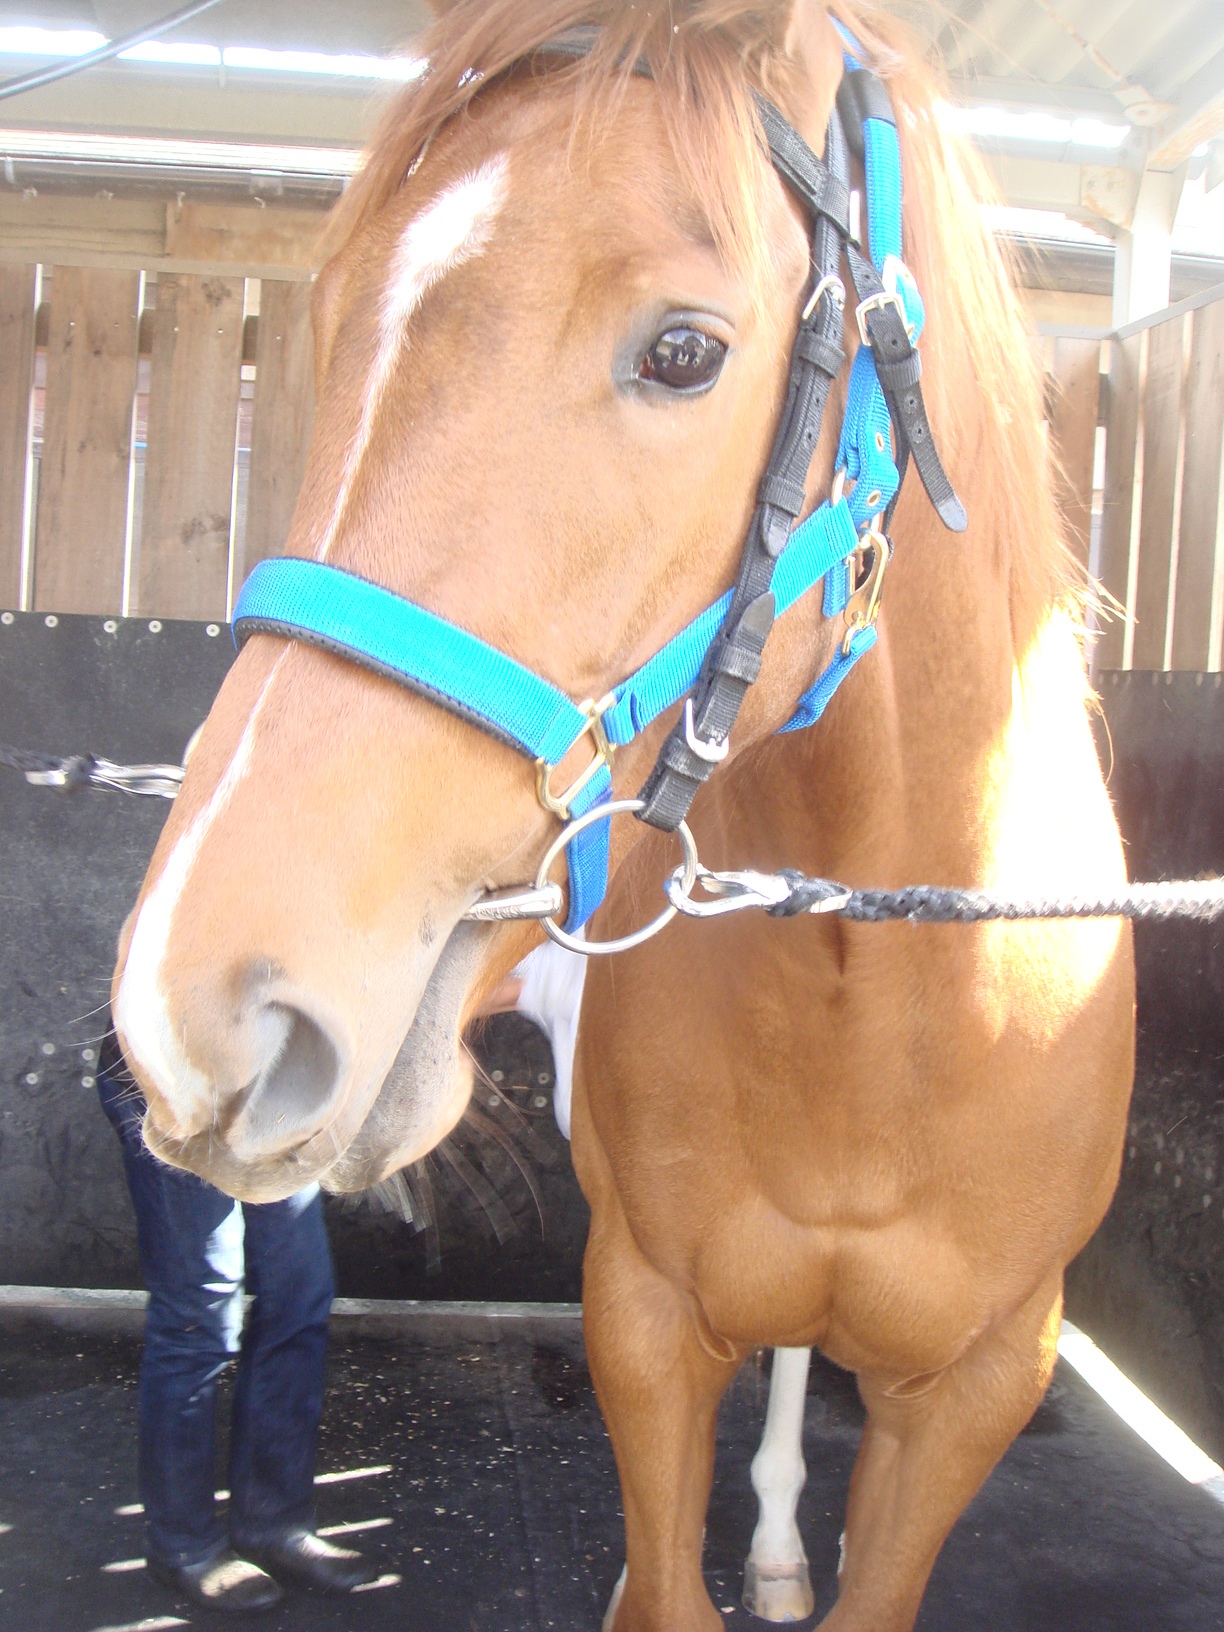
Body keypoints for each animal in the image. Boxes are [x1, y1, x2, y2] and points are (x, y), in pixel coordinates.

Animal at [110, 4, 1135, 1629]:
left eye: (682, 351)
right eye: (332, 329)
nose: (192, 1005)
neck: (889, 976)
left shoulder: (976, 1386)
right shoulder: (644, 1321)